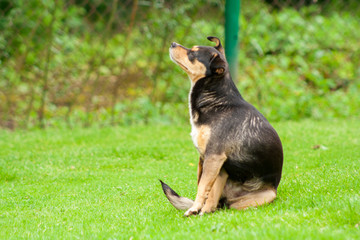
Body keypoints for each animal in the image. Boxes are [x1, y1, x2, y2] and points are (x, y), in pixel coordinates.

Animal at [161, 36, 284, 217]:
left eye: (193, 54)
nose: (173, 44)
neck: (217, 100)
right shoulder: (209, 160)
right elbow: (205, 188)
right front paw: (198, 209)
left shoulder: (214, 156)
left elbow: (202, 187)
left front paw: (194, 209)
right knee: (214, 201)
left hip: (263, 196)